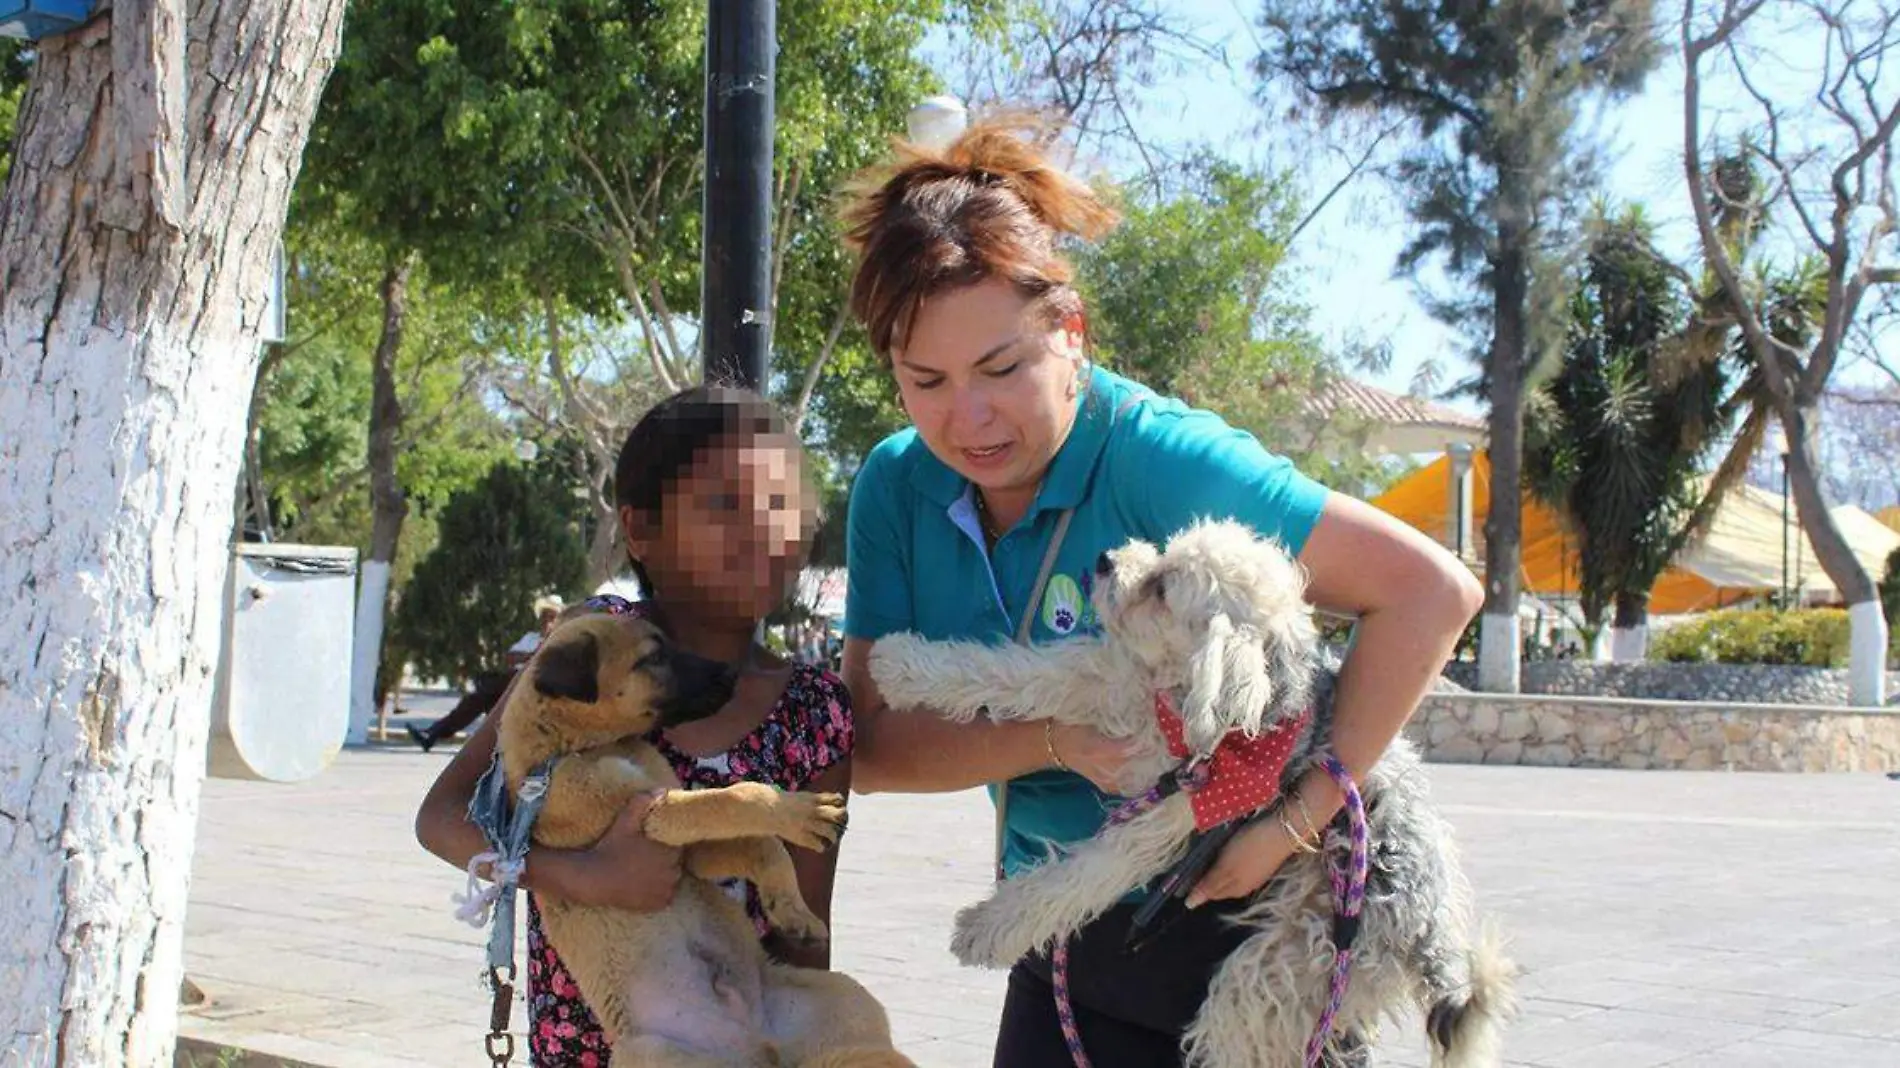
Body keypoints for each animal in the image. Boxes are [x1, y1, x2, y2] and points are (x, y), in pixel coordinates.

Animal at [497, 611, 912, 1064]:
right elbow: (738, 796)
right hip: (649, 1051)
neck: (581, 746)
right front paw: (801, 813)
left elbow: (759, 843)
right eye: (653, 657)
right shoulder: (652, 817)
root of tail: (757, 1050)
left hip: (846, 999)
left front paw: (793, 911)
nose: (730, 673)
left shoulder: (685, 847)